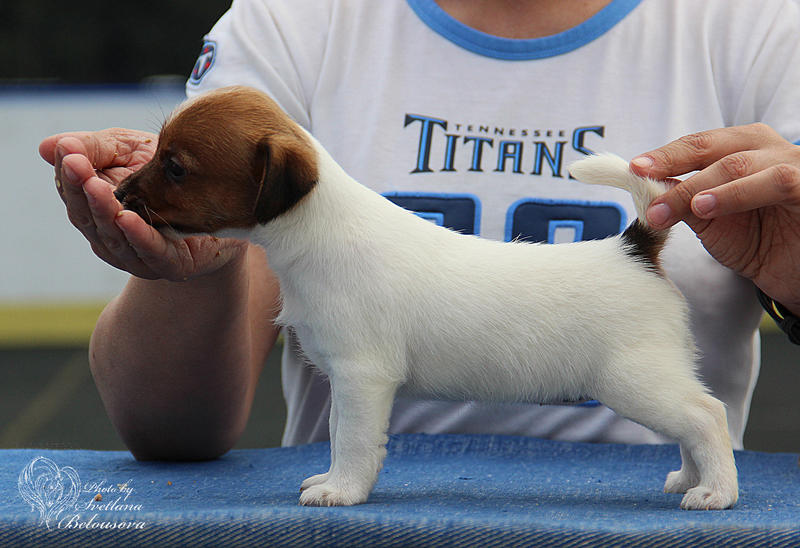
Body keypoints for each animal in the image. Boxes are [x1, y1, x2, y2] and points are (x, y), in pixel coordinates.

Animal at [112, 84, 736, 510]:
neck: (316, 229)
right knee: (693, 423)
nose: (117, 194)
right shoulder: (347, 379)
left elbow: (353, 440)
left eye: (175, 167)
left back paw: (717, 493)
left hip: (635, 381)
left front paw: (342, 491)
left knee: (707, 415)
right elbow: (337, 434)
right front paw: (332, 480)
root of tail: (634, 248)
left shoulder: (362, 375)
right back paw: (690, 478)